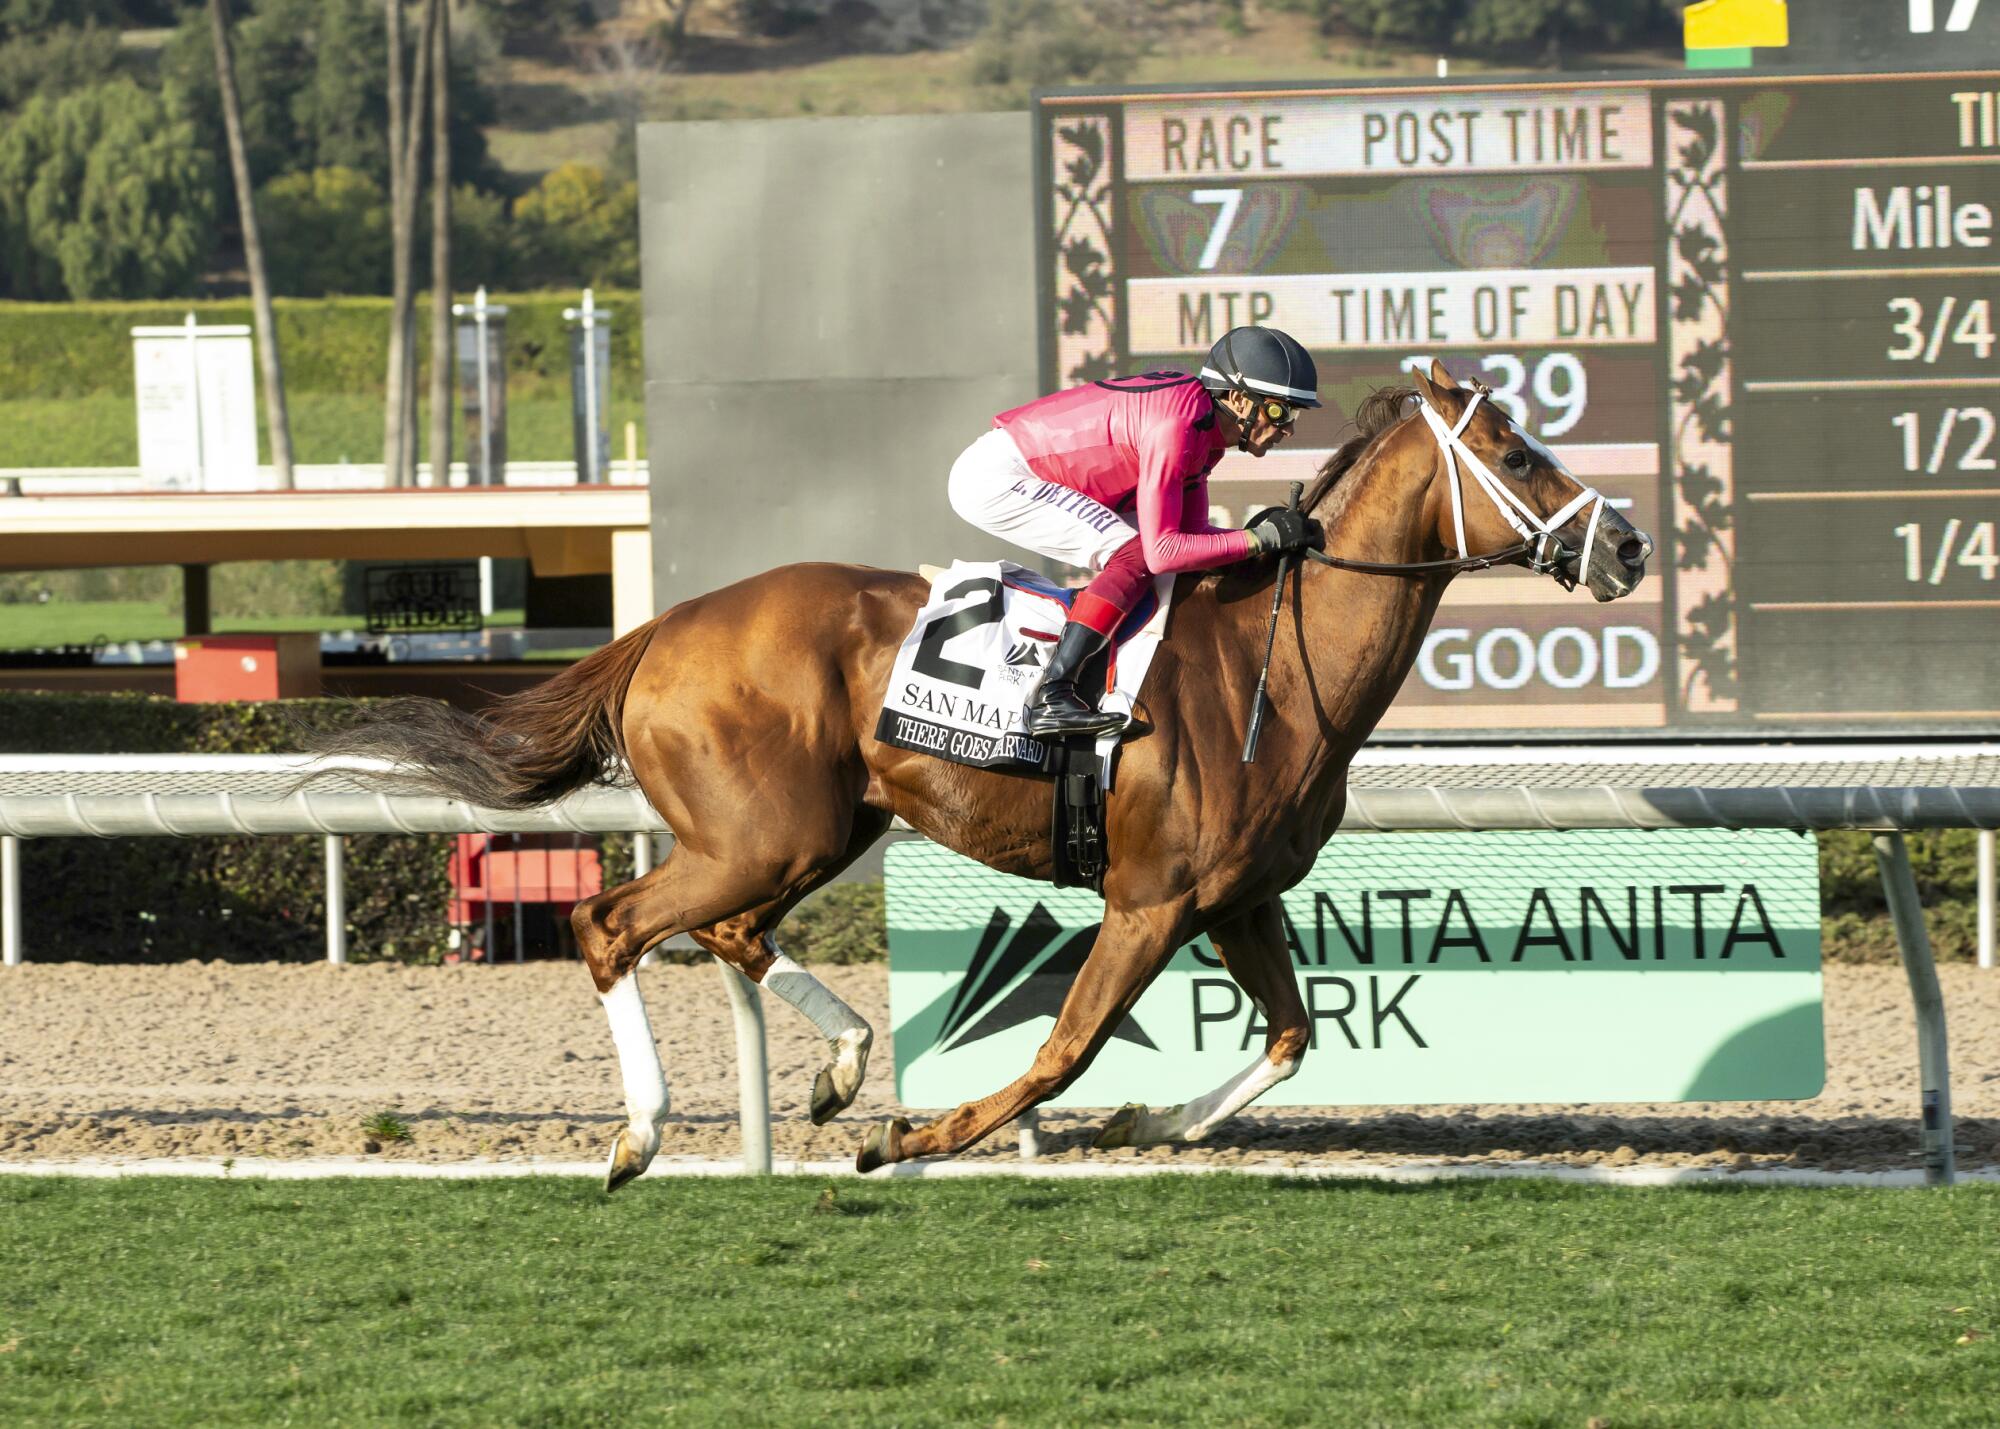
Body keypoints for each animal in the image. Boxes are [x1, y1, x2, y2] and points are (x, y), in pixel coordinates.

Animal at [312, 362, 1648, 1184]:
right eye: (1514, 449)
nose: (1627, 544)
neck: (1277, 661)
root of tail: (664, 627)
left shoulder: (1238, 897)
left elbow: (1290, 1036)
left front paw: (1143, 1119)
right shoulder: (1151, 899)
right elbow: (1063, 1049)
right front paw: (918, 1139)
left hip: (814, 829)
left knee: (728, 930)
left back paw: (841, 1064)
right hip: (760, 833)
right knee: (609, 921)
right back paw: (643, 1134)